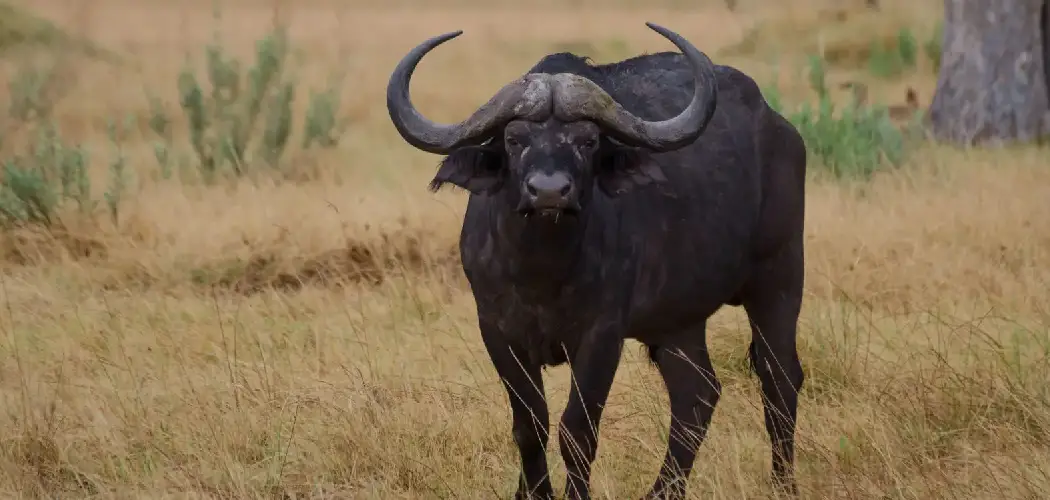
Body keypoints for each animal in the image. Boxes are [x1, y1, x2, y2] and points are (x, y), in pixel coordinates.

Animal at [386, 22, 808, 500]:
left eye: (587, 141)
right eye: (514, 140)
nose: (550, 191)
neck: (542, 270)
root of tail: (780, 130)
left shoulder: (601, 336)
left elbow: (577, 431)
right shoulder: (496, 330)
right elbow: (530, 426)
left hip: (779, 278)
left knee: (779, 378)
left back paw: (782, 485)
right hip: (679, 319)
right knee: (697, 394)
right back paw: (662, 492)